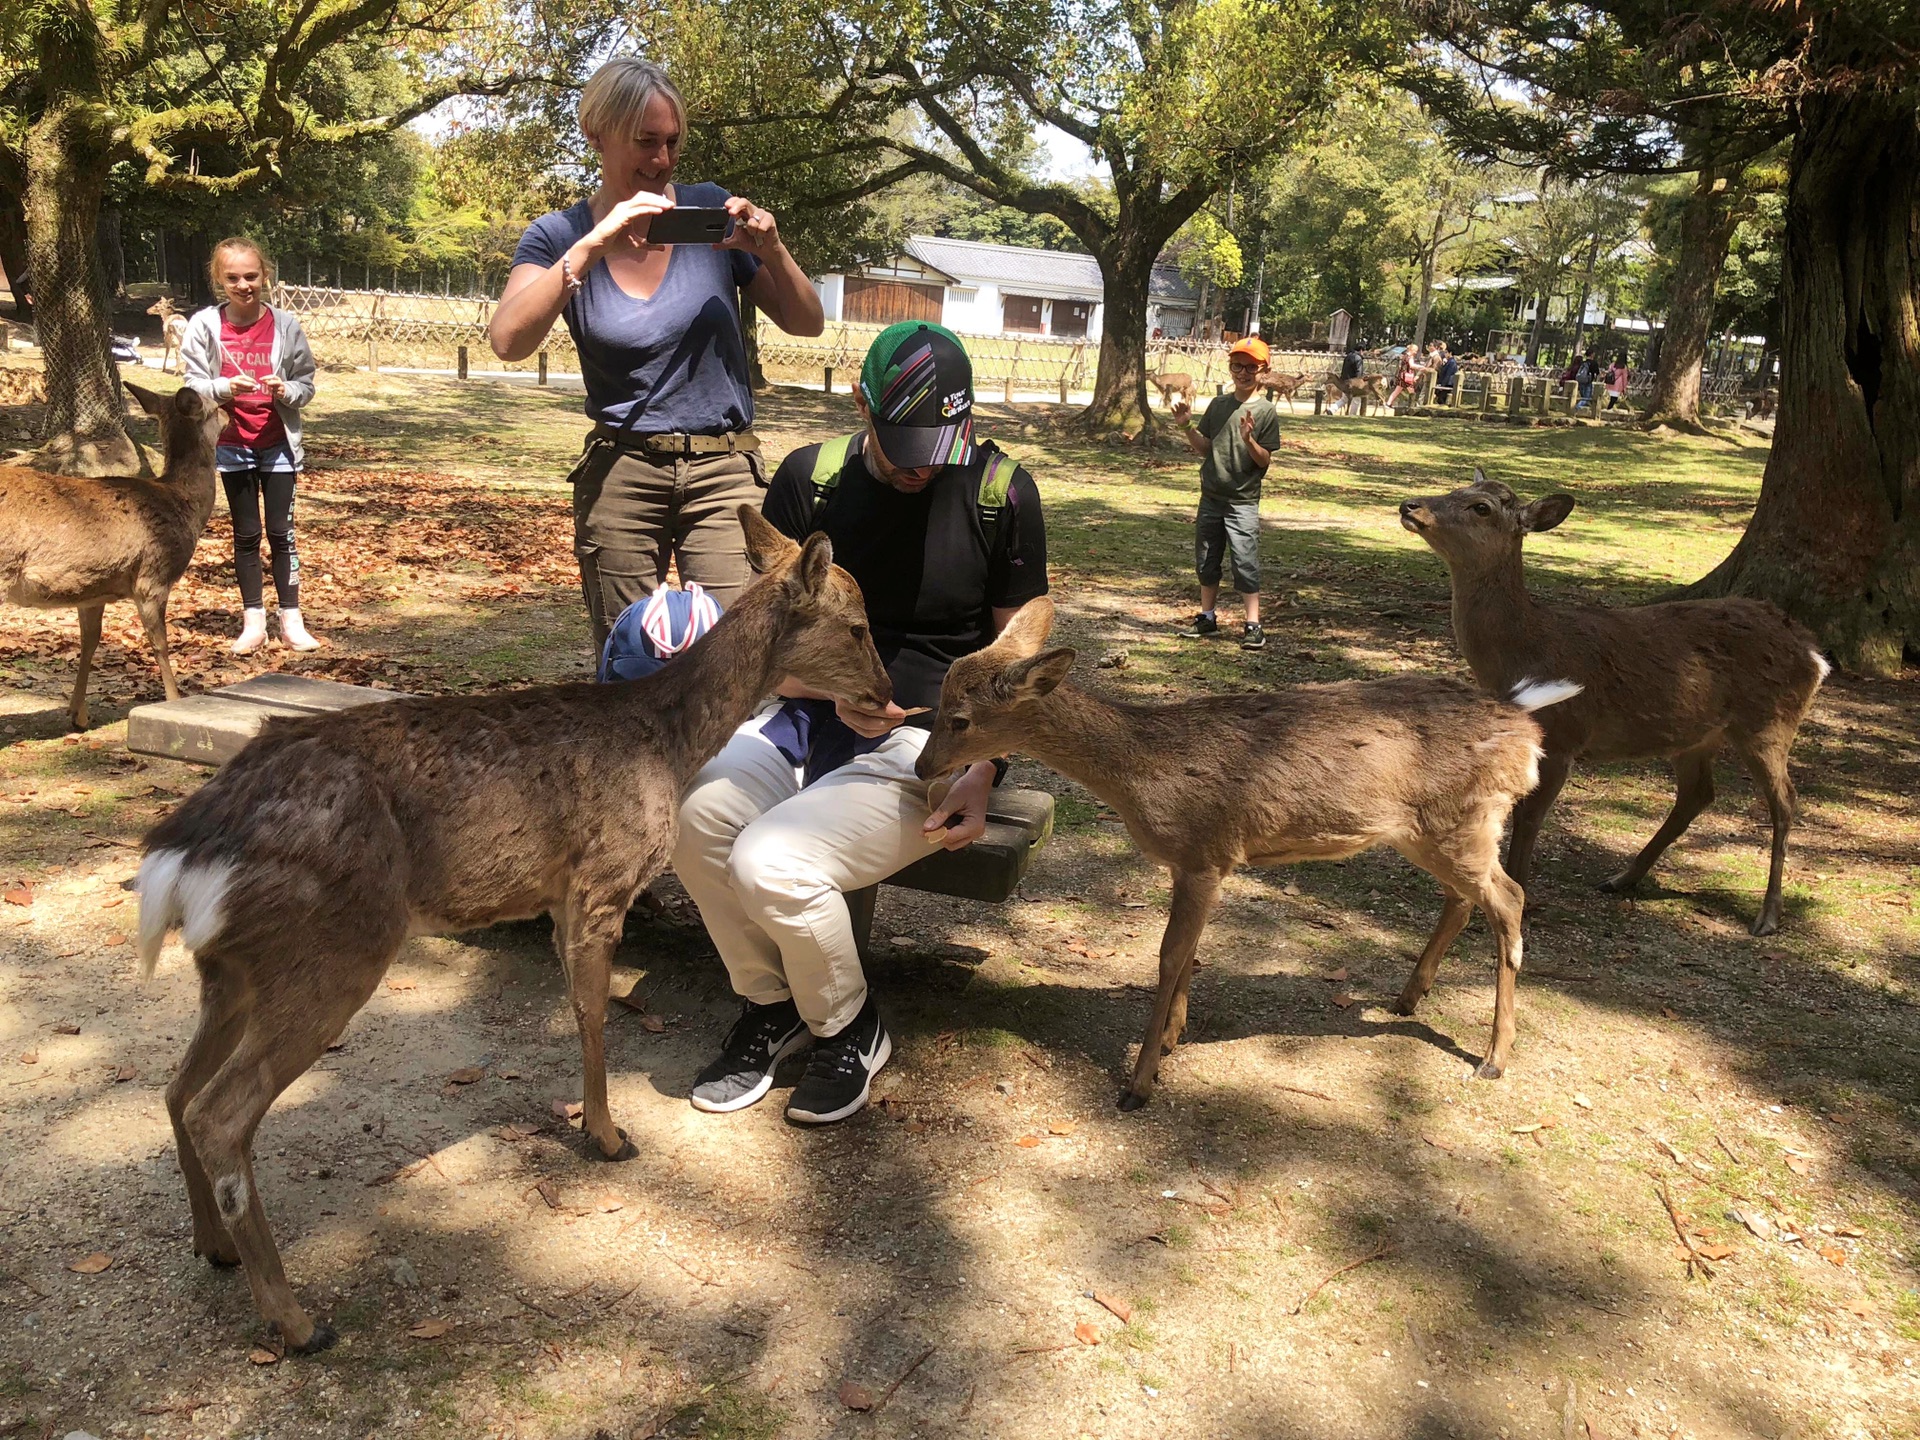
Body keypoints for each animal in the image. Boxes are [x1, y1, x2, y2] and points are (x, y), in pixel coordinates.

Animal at [0, 380, 222, 733]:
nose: (231, 416)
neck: (183, 504)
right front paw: (174, 701)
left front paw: (77, 714)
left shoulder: (92, 591)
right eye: (218, 408)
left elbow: (89, 641)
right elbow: (160, 643)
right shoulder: (153, 576)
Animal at [135, 510, 890, 1367]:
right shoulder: (601, 878)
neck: (667, 744)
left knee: (176, 1089)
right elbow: (592, 1013)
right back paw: (298, 1322)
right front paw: (608, 1136)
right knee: (220, 1112)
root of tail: (182, 850)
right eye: (857, 623)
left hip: (228, 966)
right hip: (329, 949)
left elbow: (580, 1008)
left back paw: (215, 1248)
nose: (886, 693)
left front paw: (594, 1125)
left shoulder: (562, 895)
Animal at [921, 591, 1582, 1113]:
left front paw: (1140, 1081)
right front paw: (1171, 1040)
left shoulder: (1204, 852)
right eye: (940, 700)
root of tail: (1525, 723)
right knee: (1467, 898)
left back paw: (1493, 1057)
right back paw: (1406, 997)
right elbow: (1189, 952)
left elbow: (1169, 956)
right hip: (1431, 830)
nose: (925, 766)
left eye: (961, 718)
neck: (1142, 775)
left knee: (1510, 898)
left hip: (1463, 820)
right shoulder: (1199, 864)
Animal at [1397, 474, 1827, 940]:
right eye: (1455, 488)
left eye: (1481, 507)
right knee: (1697, 794)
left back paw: (1767, 915)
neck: (1526, 650)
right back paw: (1621, 878)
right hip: (1697, 735)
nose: (1410, 505)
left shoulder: (1564, 735)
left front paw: (1518, 900)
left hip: (1769, 722)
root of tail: (1814, 654)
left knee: (1785, 800)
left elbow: (1530, 818)